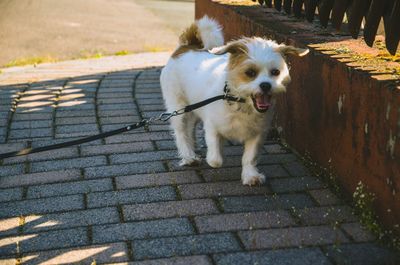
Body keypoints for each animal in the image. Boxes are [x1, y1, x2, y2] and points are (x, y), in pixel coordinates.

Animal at [160, 15, 310, 185]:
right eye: (250, 72)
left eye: (275, 72)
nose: (266, 85)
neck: (240, 103)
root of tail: (186, 47)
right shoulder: (212, 126)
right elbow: (216, 158)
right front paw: (215, 156)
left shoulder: (257, 134)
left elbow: (250, 158)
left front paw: (250, 175)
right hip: (178, 108)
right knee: (181, 132)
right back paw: (189, 156)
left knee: (190, 128)